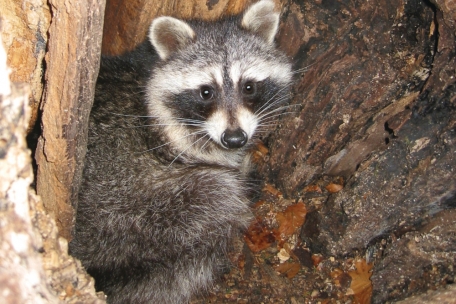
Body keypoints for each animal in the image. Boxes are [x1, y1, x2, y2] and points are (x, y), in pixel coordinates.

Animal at [70, 1, 294, 302]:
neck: (149, 68)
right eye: (206, 92)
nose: (234, 139)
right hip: (129, 214)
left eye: (248, 87)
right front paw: (240, 169)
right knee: (218, 192)